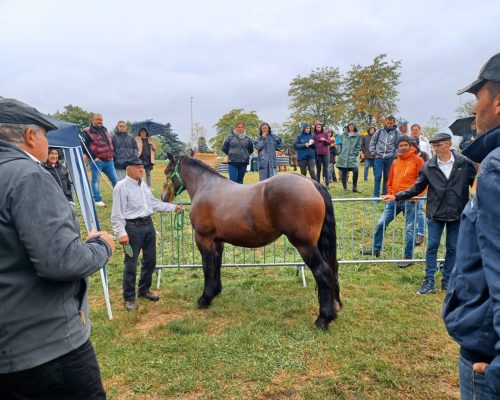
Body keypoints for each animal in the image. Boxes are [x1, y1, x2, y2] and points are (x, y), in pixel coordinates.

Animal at [162, 153, 342, 328]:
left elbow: (207, 267)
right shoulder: (217, 241)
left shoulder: (203, 238)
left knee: (323, 272)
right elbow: (216, 265)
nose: (164, 197)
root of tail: (312, 183)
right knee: (333, 269)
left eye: (167, 172)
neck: (206, 187)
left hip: (305, 245)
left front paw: (204, 299)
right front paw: (215, 291)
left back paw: (323, 319)